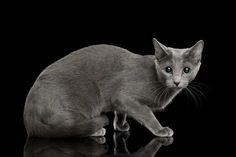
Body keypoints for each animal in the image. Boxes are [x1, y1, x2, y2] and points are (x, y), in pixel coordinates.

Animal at [24, 38, 205, 137]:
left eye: (186, 70)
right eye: (168, 69)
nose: (176, 81)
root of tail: (29, 117)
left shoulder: (119, 101)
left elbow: (121, 111)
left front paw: (120, 126)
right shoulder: (124, 96)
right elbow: (146, 113)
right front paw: (160, 130)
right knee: (66, 128)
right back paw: (96, 131)